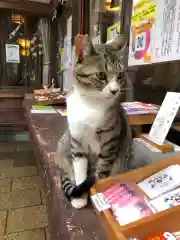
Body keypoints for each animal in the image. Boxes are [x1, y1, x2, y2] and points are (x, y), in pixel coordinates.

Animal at [56, 33, 134, 208]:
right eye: (101, 75)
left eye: (120, 75)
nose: (115, 90)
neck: (91, 105)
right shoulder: (77, 143)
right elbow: (80, 173)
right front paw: (80, 196)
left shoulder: (109, 145)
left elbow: (101, 174)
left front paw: (95, 194)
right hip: (64, 144)